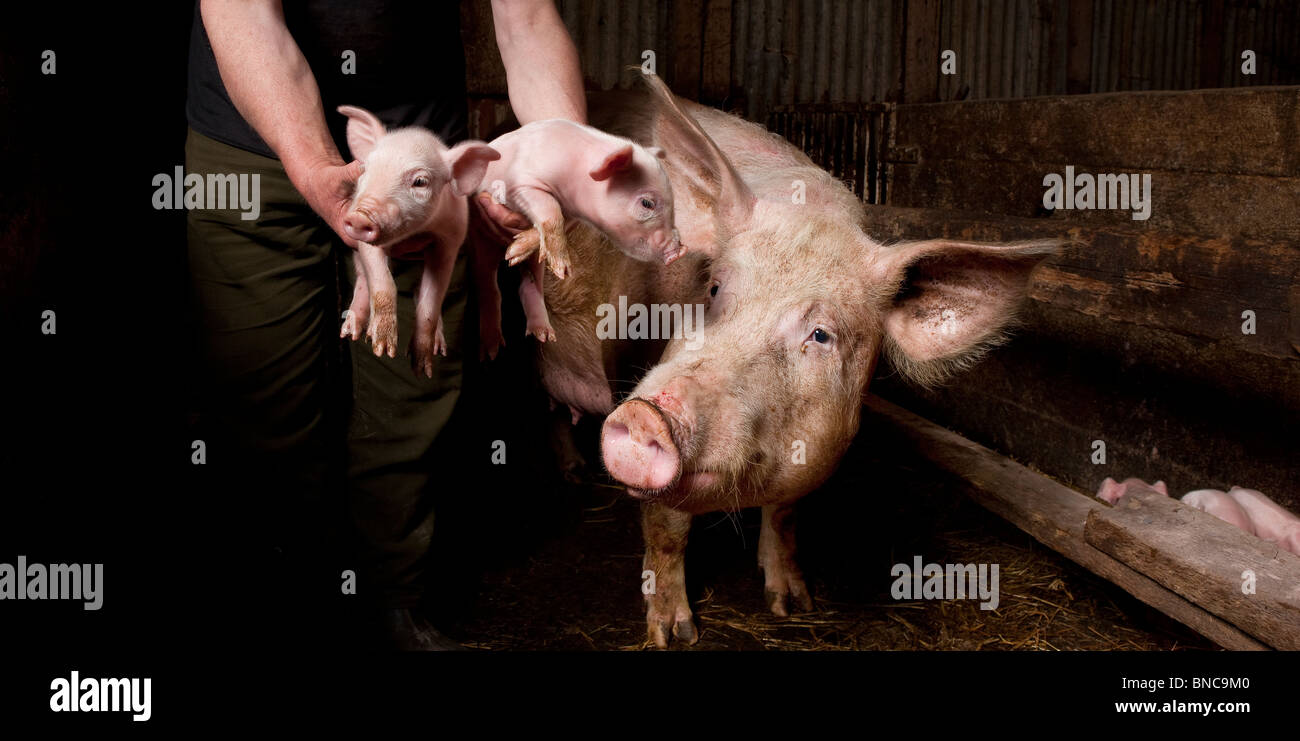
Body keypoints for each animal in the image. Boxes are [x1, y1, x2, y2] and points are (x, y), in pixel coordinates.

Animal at [533, 72, 1060, 642]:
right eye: (714, 289)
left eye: (821, 335)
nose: (646, 414)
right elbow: (667, 528)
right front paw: (675, 636)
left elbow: (784, 515)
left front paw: (792, 604)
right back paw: (573, 473)